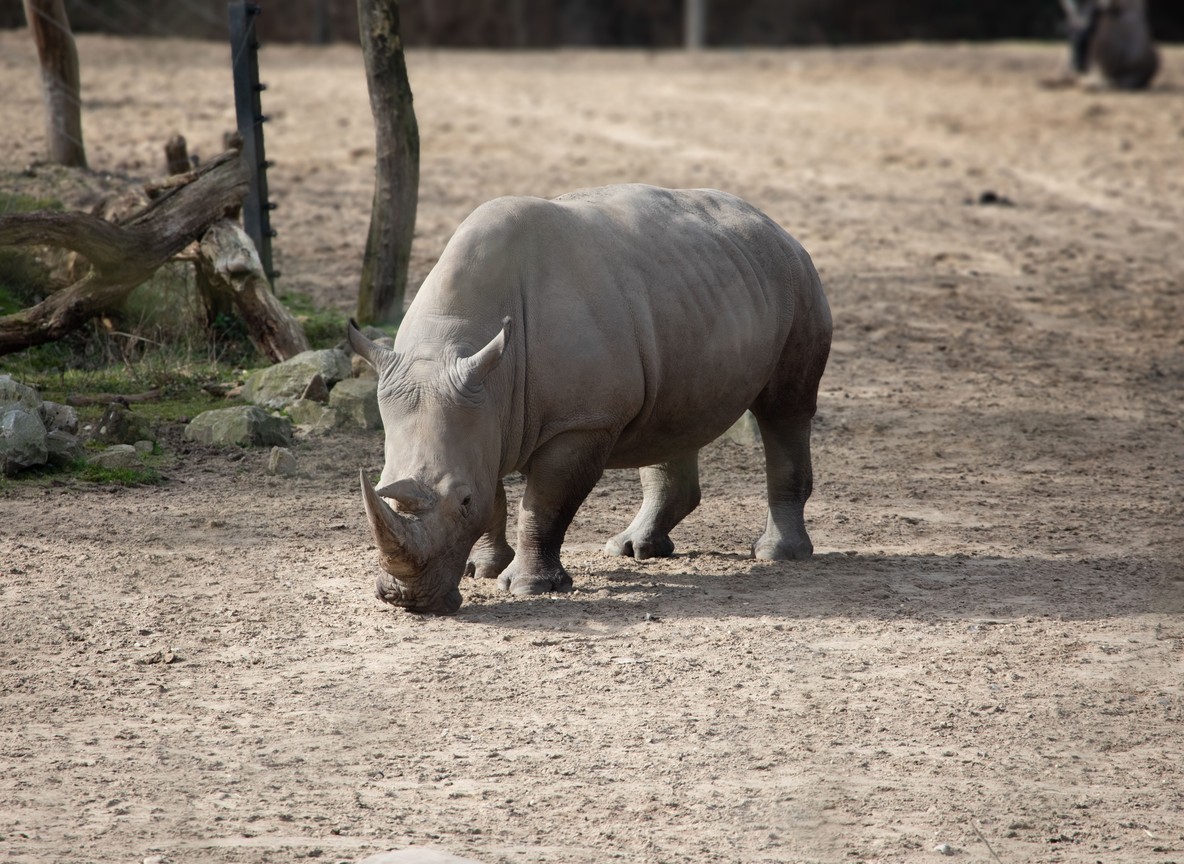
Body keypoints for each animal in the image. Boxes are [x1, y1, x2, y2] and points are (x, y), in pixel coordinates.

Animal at [348, 184, 832, 615]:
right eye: (382, 488)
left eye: (463, 501)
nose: (407, 600)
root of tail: (775, 225)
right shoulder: (483, 409)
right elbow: (496, 493)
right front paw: (482, 570)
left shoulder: (582, 421)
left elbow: (542, 504)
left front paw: (529, 587)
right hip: (700, 288)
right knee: (673, 417)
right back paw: (633, 550)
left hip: (797, 280)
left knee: (784, 411)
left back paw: (776, 554)